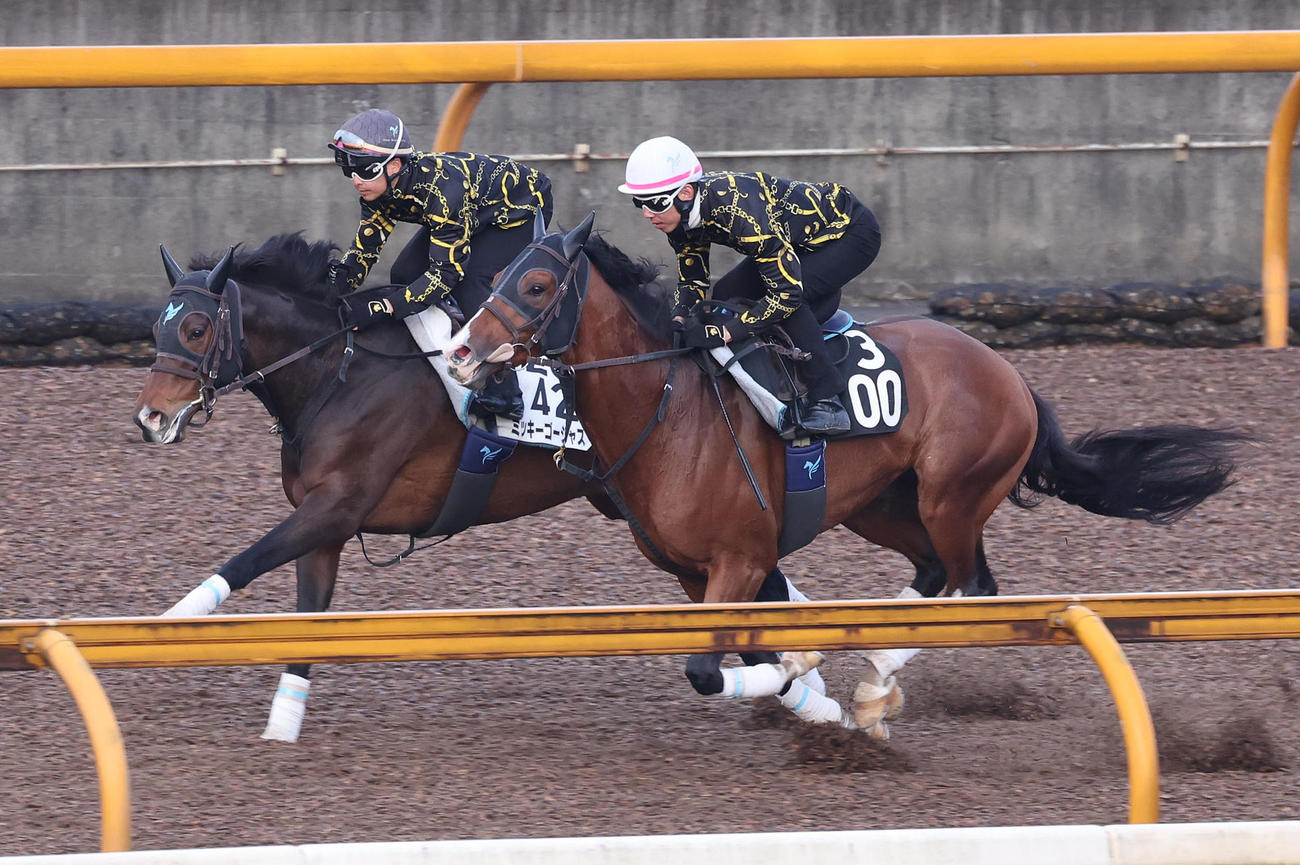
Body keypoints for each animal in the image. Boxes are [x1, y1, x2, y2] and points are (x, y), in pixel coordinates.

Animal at [443, 213, 1253, 737]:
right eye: (499, 273)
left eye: (537, 285)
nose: (459, 351)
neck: (670, 411)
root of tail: (1010, 373)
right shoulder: (692, 572)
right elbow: (751, 647)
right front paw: (815, 694)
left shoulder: (740, 558)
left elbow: (714, 668)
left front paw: (811, 677)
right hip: (882, 506)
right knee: (934, 575)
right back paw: (871, 684)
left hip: (953, 496)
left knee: (972, 587)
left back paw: (873, 685)